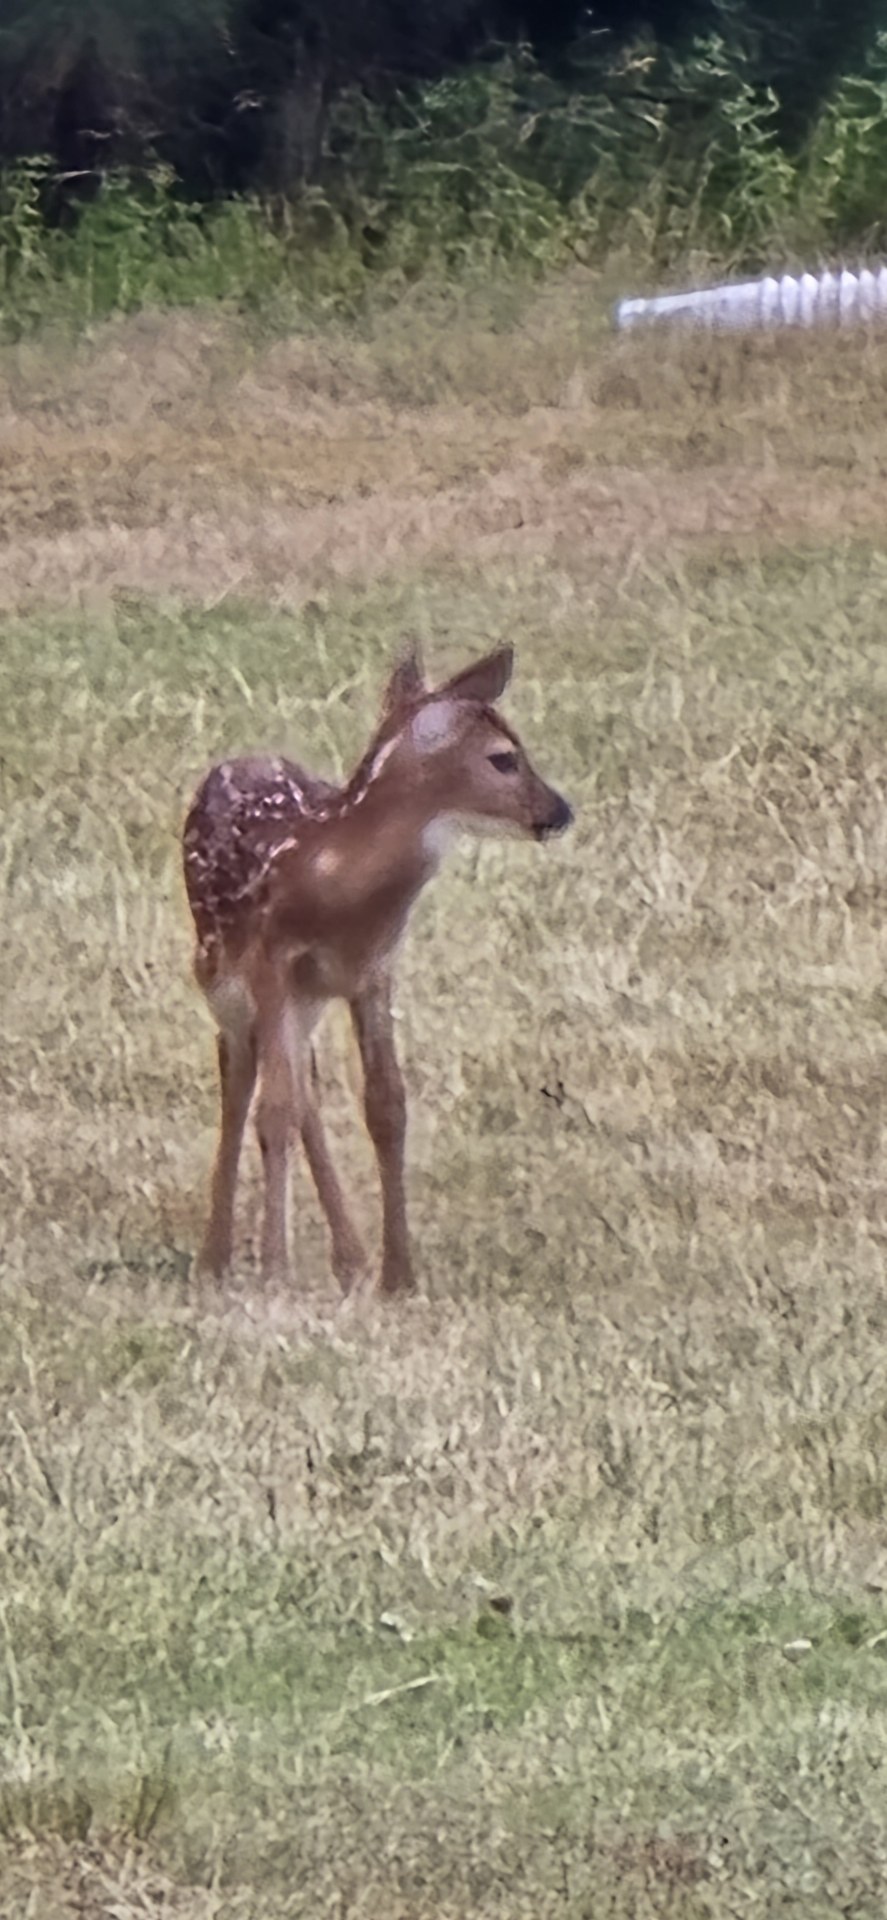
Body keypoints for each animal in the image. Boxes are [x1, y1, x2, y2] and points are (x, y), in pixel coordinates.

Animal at [182, 642, 572, 1297]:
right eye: (505, 758)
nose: (560, 810)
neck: (337, 884)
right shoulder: (270, 962)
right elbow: (274, 1110)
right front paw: (275, 1273)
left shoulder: (373, 972)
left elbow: (386, 1105)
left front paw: (399, 1276)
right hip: (218, 971)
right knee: (240, 1073)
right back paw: (215, 1259)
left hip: (306, 998)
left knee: (302, 1084)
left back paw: (351, 1259)